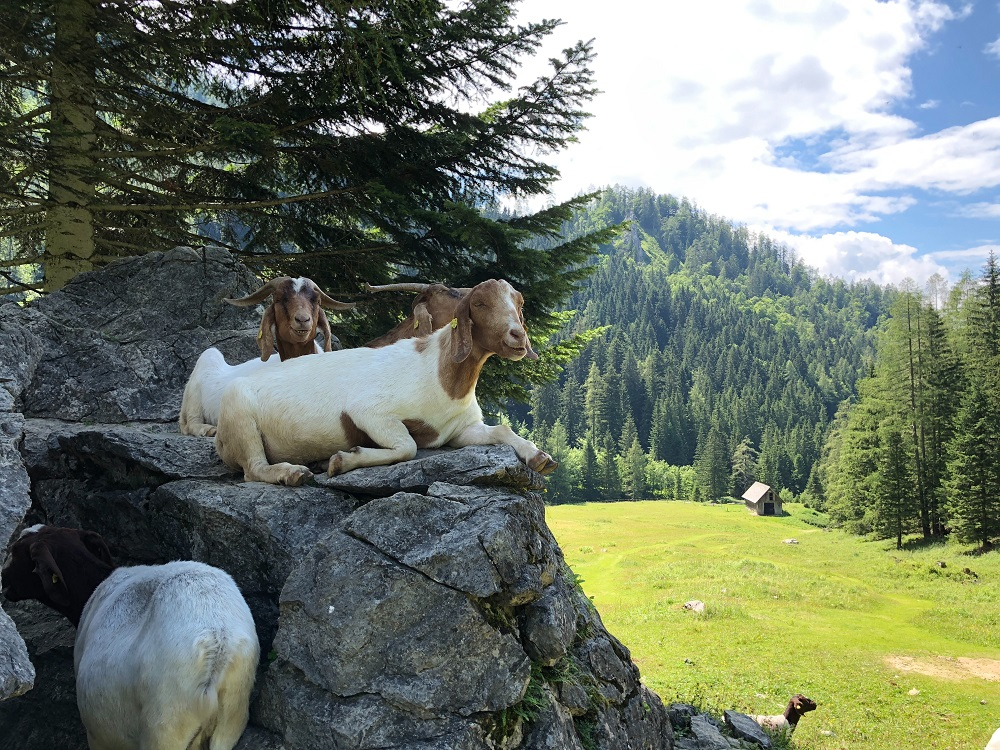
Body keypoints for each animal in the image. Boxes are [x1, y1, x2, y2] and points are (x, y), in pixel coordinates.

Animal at [1, 524, 260, 750]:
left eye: (15, 551)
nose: (3, 580)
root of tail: (219, 643)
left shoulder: (98, 738)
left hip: (164, 726)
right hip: (229, 722)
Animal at [180, 278, 356, 440]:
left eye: (316, 300)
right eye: (279, 299)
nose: (302, 320)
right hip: (202, 373)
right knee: (191, 422)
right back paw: (208, 429)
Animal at [215, 278, 560, 488]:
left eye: (519, 304)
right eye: (480, 304)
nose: (518, 337)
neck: (438, 374)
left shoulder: (457, 431)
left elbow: (500, 430)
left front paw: (539, 457)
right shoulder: (369, 412)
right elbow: (408, 446)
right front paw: (342, 460)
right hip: (240, 417)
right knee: (253, 468)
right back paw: (293, 472)